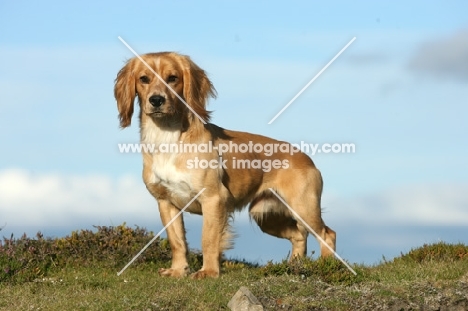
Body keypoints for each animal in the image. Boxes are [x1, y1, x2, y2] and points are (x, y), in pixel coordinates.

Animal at [116, 51, 336, 280]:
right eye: (144, 79)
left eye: (173, 78)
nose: (157, 100)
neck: (168, 138)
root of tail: (307, 158)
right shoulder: (166, 203)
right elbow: (177, 242)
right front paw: (178, 270)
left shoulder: (213, 198)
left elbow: (208, 239)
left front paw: (209, 272)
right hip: (266, 215)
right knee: (298, 235)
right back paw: (294, 266)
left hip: (304, 208)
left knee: (327, 234)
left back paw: (326, 266)